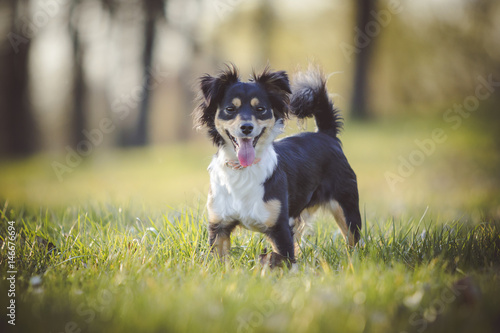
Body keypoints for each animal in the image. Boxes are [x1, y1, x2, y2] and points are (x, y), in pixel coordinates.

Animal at [193, 65, 362, 268]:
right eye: (230, 109)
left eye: (261, 109)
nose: (246, 127)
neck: (244, 170)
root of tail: (326, 134)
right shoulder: (219, 226)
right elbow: (217, 262)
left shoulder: (280, 229)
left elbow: (284, 260)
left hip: (346, 208)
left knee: (353, 240)